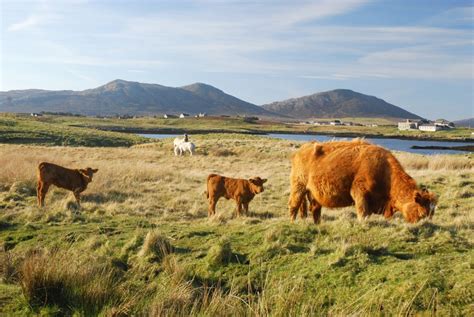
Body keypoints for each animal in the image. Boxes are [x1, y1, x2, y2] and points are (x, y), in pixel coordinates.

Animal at [286, 139, 436, 223]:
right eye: (422, 213)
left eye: (432, 214)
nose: (426, 225)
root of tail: (302, 149)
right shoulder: (360, 194)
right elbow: (362, 213)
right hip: (298, 187)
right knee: (293, 206)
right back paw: (292, 223)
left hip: (313, 194)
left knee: (314, 210)